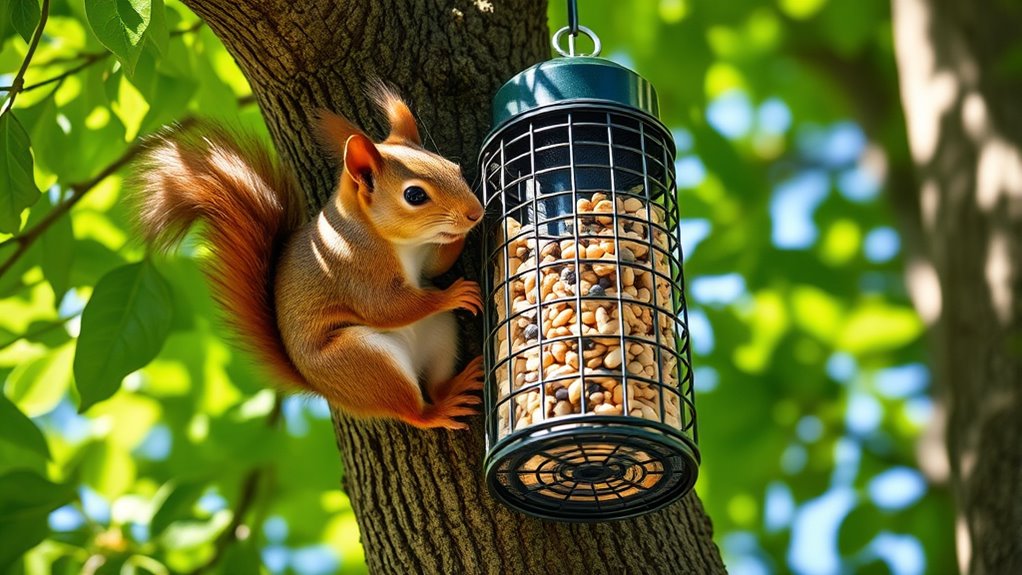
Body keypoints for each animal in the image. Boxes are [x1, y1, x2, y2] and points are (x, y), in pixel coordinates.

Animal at [134, 86, 487, 430]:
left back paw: (457, 387)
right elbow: (385, 306)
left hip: (440, 331)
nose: (475, 212)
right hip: (362, 362)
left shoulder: (423, 257)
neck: (398, 242)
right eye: (415, 195)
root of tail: (323, 388)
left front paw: (464, 235)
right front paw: (453, 293)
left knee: (436, 382)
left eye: (454, 168)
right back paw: (436, 411)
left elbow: (435, 268)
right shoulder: (352, 265)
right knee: (412, 410)